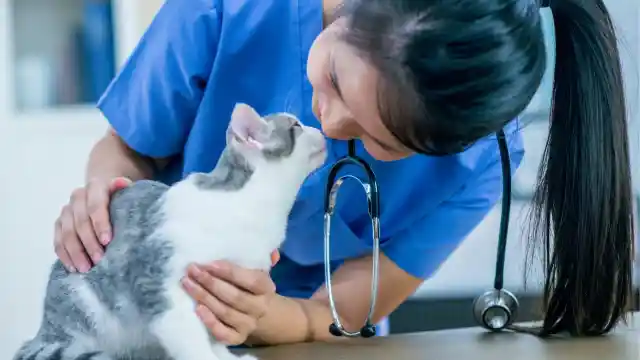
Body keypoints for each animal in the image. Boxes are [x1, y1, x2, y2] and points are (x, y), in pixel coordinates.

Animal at [13, 102, 328, 360]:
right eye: (296, 126)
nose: (318, 127)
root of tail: (46, 329)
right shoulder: (160, 281)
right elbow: (188, 335)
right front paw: (207, 357)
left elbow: (211, 334)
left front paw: (224, 355)